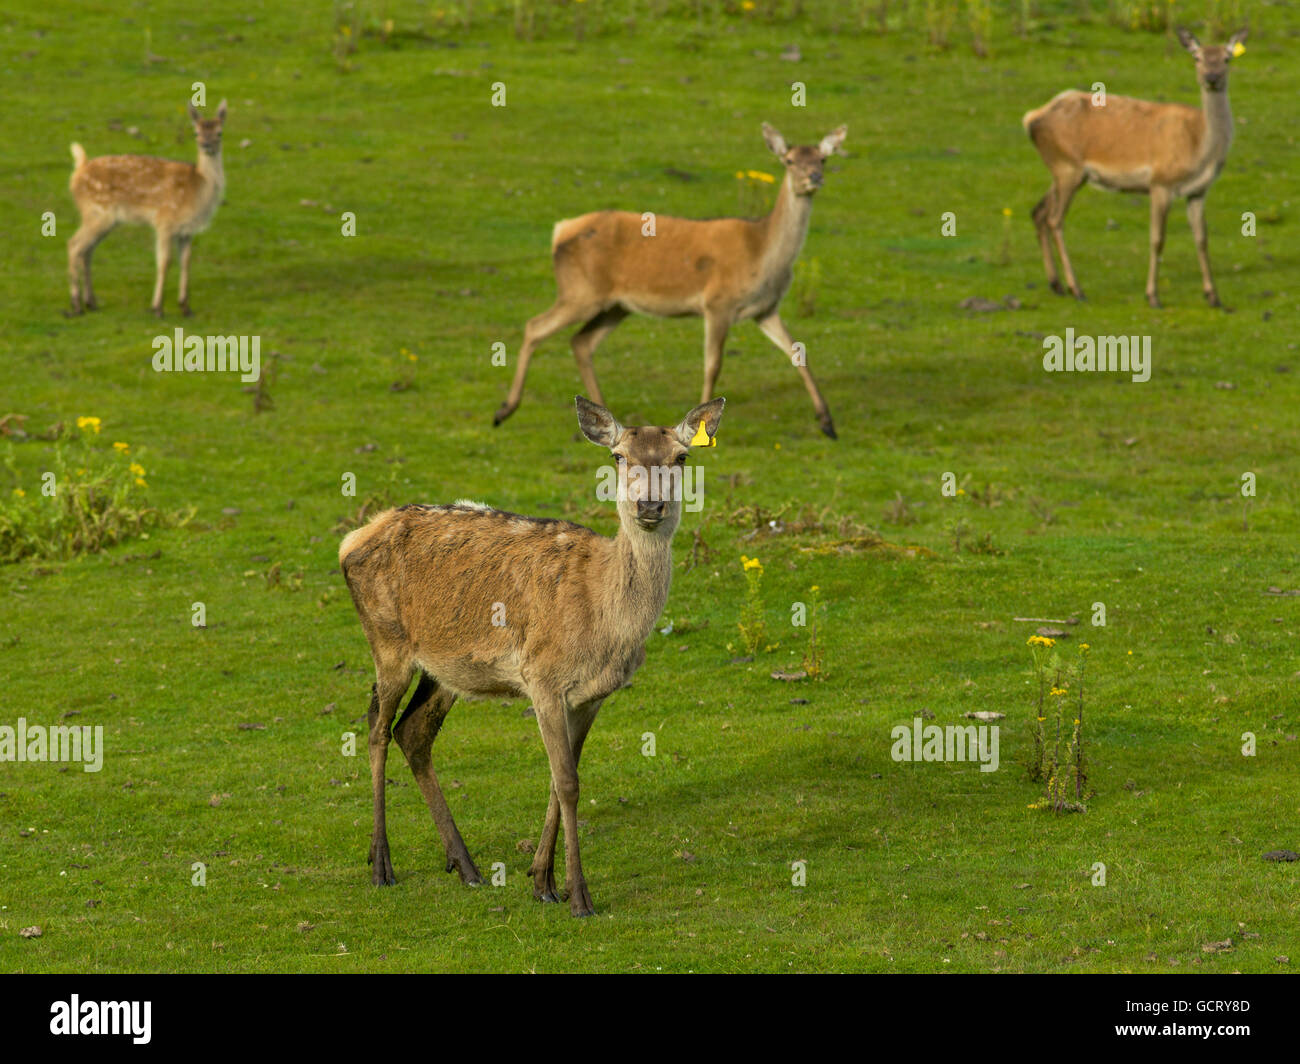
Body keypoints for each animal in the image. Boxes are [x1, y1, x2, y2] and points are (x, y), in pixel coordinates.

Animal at [67, 99, 227, 317]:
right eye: (196, 132)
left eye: (219, 132)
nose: (206, 145)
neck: (197, 189)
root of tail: (79, 168)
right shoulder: (164, 221)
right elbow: (165, 262)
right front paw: (157, 307)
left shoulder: (187, 230)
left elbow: (186, 262)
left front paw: (185, 307)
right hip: (97, 212)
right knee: (74, 245)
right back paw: (76, 305)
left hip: (103, 219)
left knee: (87, 251)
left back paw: (91, 302)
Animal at [339, 395, 725, 917]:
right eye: (618, 456)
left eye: (682, 457)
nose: (649, 506)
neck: (605, 620)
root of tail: (352, 539)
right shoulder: (542, 677)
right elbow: (568, 783)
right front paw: (580, 896)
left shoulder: (591, 696)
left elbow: (560, 779)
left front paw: (542, 881)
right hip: (387, 641)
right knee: (377, 727)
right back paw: (382, 865)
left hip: (445, 669)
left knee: (412, 731)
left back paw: (467, 866)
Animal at [493, 123, 846, 439]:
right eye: (789, 160)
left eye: (822, 158)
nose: (814, 177)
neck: (762, 254)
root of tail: (559, 230)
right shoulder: (717, 303)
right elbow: (712, 364)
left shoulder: (765, 309)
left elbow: (798, 353)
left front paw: (827, 423)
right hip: (580, 291)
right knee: (535, 327)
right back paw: (504, 410)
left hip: (616, 305)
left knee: (581, 342)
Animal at [1023, 28, 1248, 308]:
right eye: (1197, 57)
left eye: (1227, 58)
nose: (1212, 78)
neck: (1199, 148)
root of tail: (1031, 119)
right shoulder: (1160, 182)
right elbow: (1157, 239)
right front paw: (1153, 296)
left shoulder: (1198, 191)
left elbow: (1202, 239)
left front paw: (1213, 296)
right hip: (1067, 168)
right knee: (1055, 220)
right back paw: (1077, 289)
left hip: (1064, 171)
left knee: (1039, 211)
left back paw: (1056, 285)